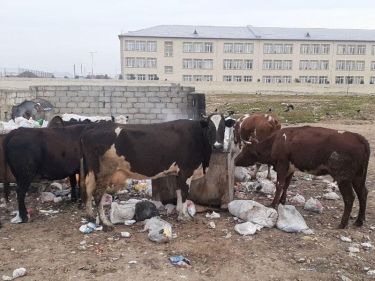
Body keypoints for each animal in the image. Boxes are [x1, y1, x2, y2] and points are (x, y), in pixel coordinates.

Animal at [235, 124, 370, 228]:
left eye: (245, 150)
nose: (235, 160)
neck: (276, 142)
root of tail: (358, 137)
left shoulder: (282, 165)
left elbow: (279, 185)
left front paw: (274, 204)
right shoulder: (291, 168)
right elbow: (286, 185)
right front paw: (283, 201)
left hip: (343, 177)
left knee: (350, 197)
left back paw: (343, 223)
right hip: (359, 176)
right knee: (363, 193)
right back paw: (359, 221)